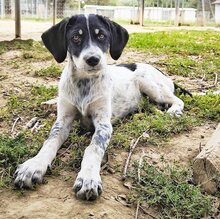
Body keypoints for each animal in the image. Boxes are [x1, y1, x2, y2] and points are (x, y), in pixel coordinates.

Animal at [13, 13, 190, 200]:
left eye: (102, 36)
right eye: (76, 37)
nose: (93, 60)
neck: (84, 83)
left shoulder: (104, 124)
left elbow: (93, 148)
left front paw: (88, 178)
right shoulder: (62, 121)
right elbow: (49, 142)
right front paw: (33, 165)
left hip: (149, 83)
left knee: (178, 100)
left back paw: (172, 110)